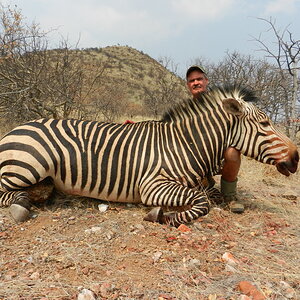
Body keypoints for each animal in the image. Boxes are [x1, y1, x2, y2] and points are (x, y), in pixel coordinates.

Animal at [0, 85, 298, 226]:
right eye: (265, 124)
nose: (296, 158)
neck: (186, 144)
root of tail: (17, 128)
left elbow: (208, 194)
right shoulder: (151, 185)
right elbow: (202, 203)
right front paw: (164, 216)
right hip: (28, 167)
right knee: (8, 193)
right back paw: (22, 204)